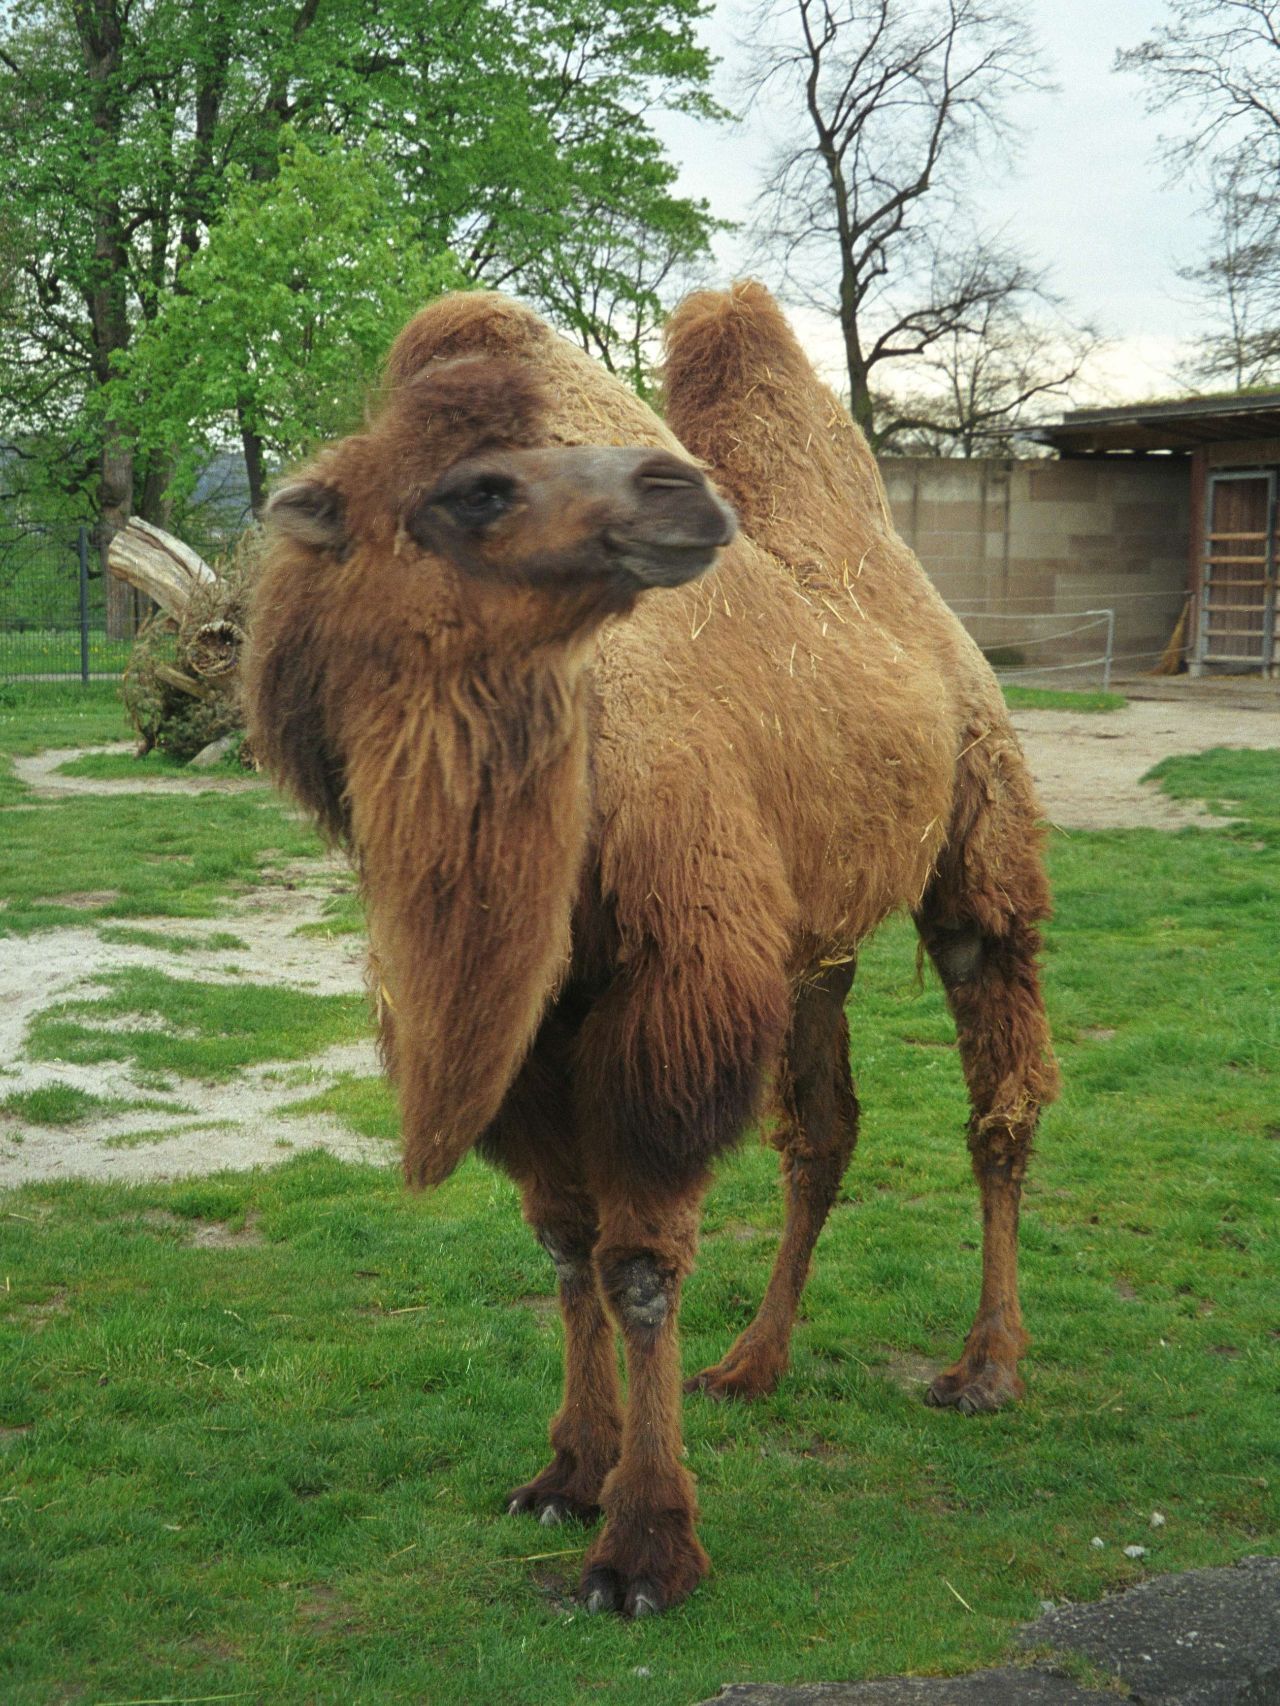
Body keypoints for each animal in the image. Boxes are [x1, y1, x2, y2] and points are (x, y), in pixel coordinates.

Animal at [245, 286, 1058, 1617]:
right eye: (478, 488)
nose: (680, 495)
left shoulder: (670, 991)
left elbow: (633, 1260)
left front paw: (642, 1543)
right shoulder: (541, 1026)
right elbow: (563, 1246)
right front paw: (566, 1470)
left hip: (975, 845)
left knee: (998, 1094)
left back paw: (984, 1366)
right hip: (811, 943)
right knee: (821, 1131)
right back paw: (752, 1360)